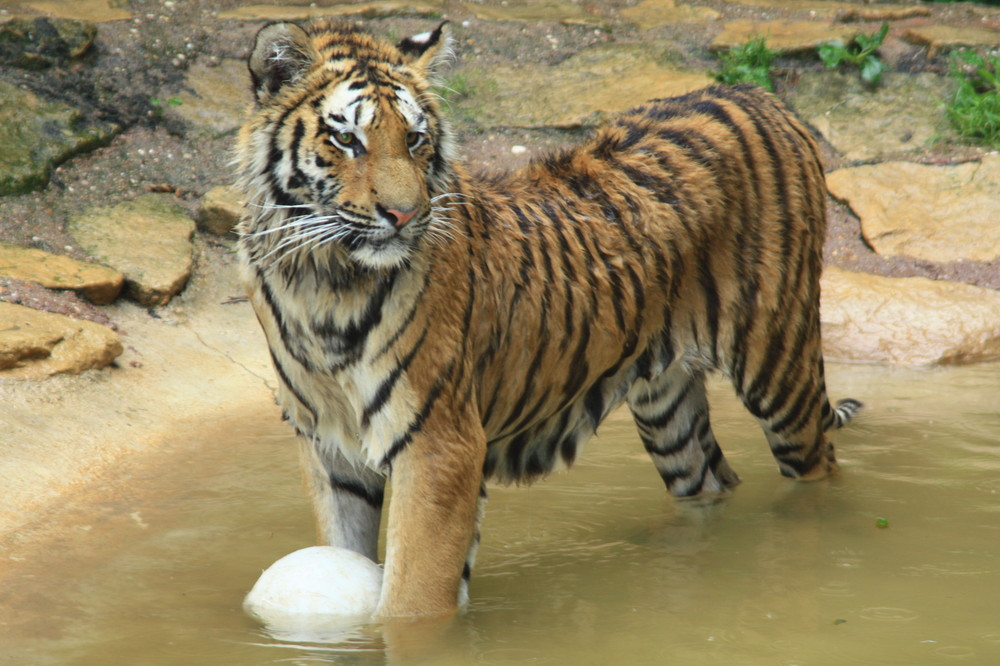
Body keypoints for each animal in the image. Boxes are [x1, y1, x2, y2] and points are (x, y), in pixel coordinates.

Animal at [234, 19, 860, 616]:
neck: (321, 282)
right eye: (347, 139)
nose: (405, 215)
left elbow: (411, 603)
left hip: (778, 363)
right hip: (669, 409)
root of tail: (757, 93)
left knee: (821, 470)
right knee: (713, 480)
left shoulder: (438, 447)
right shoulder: (330, 448)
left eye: (414, 139)